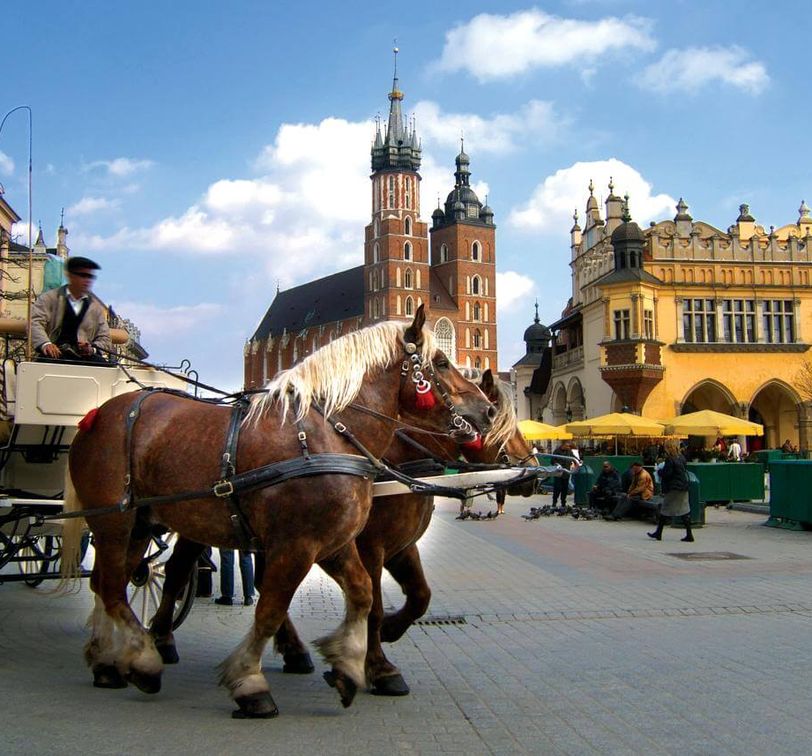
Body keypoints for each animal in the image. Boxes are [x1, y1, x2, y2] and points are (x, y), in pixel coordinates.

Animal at [59, 305, 495, 719]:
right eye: (441, 362)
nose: (488, 410)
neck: (329, 435)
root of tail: (97, 415)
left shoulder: (335, 543)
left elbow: (362, 595)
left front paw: (346, 668)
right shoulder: (300, 545)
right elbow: (270, 609)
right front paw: (250, 684)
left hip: (141, 522)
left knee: (110, 582)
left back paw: (107, 661)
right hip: (114, 521)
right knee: (114, 586)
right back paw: (144, 659)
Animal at [147, 368, 536, 696]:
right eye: (498, 420)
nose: (532, 470)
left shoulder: (400, 548)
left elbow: (420, 596)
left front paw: (390, 632)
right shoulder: (367, 547)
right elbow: (374, 605)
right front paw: (379, 666)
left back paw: (292, 651)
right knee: (177, 571)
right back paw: (162, 639)